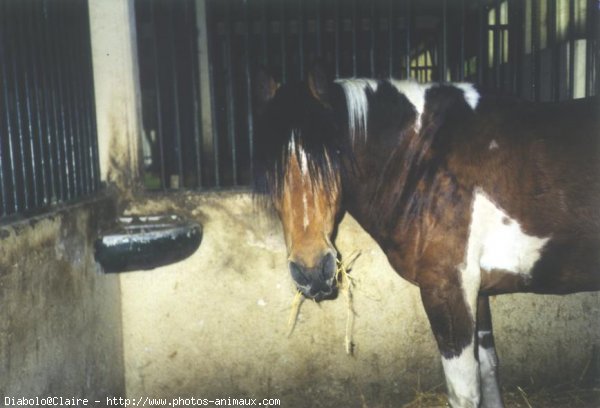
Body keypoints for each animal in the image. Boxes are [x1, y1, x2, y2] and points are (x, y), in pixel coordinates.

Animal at [252, 61, 600, 408]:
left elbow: (464, 390)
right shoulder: (478, 292)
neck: (425, 161)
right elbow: (489, 371)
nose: (312, 271)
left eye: (334, 154)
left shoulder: (447, 289)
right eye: (269, 166)